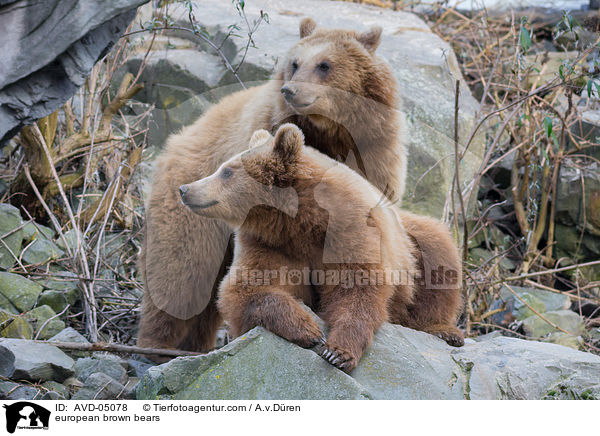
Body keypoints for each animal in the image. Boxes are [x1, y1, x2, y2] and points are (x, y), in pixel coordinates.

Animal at [137, 17, 414, 354]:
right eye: (294, 63)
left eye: (324, 64)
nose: (290, 90)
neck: (330, 132)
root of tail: (177, 140)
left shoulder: (374, 156)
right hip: (190, 213)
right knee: (181, 275)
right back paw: (156, 346)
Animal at [178, 124, 464, 372]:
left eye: (227, 171)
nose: (185, 189)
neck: (300, 221)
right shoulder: (269, 243)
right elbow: (247, 287)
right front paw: (306, 328)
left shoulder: (351, 229)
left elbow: (358, 288)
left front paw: (339, 351)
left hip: (410, 240)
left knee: (438, 257)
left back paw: (443, 330)